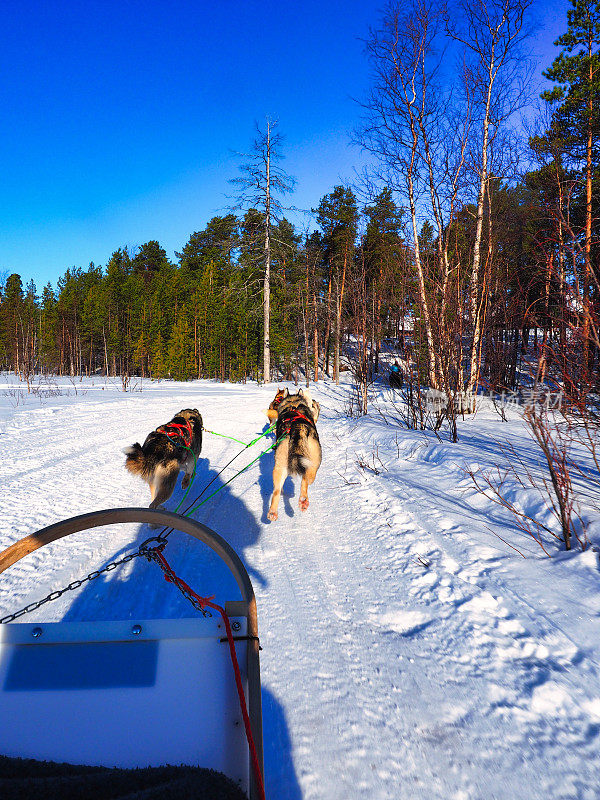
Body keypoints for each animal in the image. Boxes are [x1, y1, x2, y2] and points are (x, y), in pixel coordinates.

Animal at [268, 386, 324, 520]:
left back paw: (273, 512)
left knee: (276, 490)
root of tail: (297, 427)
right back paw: (303, 500)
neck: (293, 403)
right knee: (307, 479)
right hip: (315, 461)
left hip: (280, 465)